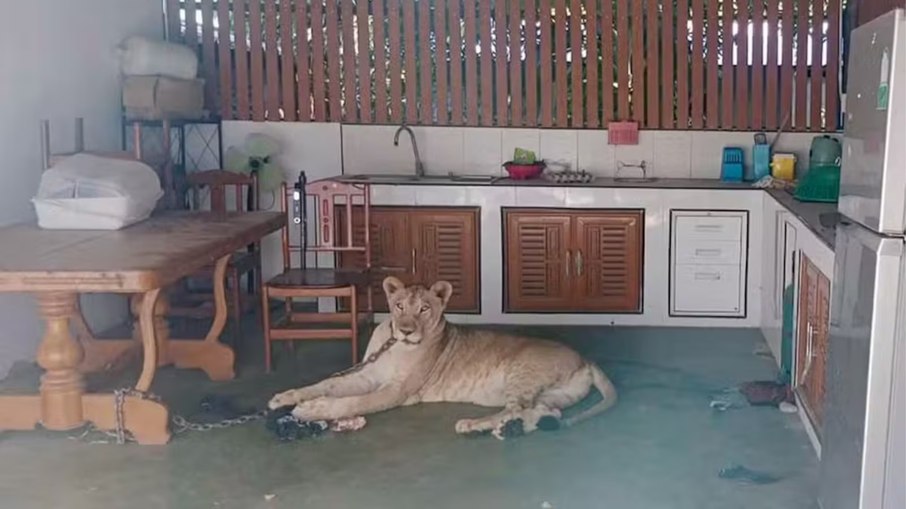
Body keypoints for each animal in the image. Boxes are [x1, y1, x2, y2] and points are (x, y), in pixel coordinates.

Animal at [268, 276, 618, 439]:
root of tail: (586, 359)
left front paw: (311, 410)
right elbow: (328, 384)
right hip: (553, 395)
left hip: (523, 373)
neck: (395, 345)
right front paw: (286, 397)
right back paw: (507, 431)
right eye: (399, 305)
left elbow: (354, 402)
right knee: (543, 412)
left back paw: (473, 425)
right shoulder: (368, 375)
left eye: (424, 308)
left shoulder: (398, 391)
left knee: (516, 408)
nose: (406, 330)